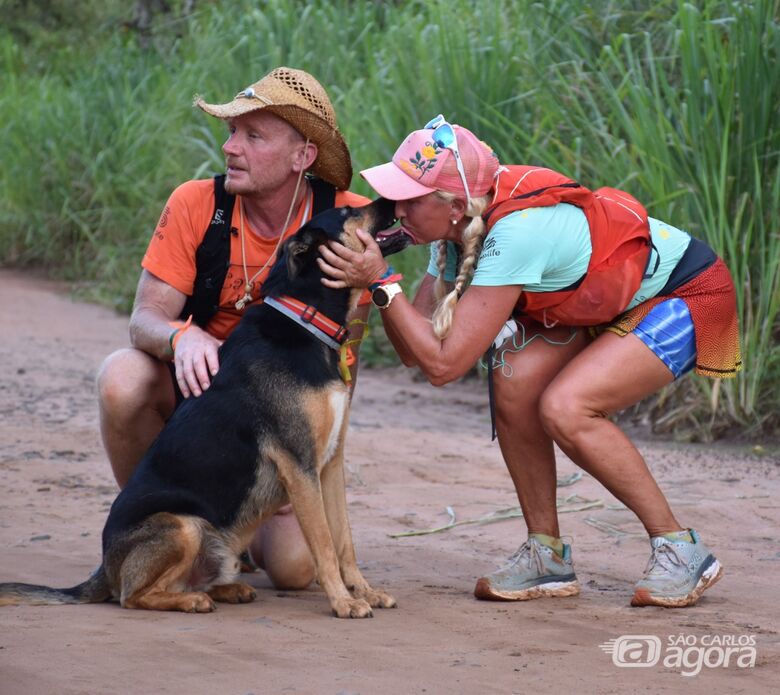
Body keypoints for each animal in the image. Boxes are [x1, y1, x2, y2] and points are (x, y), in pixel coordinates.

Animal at [0, 196, 402, 620]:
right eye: (346, 213)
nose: (394, 202)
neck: (306, 319)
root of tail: (105, 566)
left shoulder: (329, 464)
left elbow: (344, 541)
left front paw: (364, 591)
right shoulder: (300, 466)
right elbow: (325, 545)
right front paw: (344, 601)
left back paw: (228, 589)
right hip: (182, 526)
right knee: (132, 596)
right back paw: (192, 600)